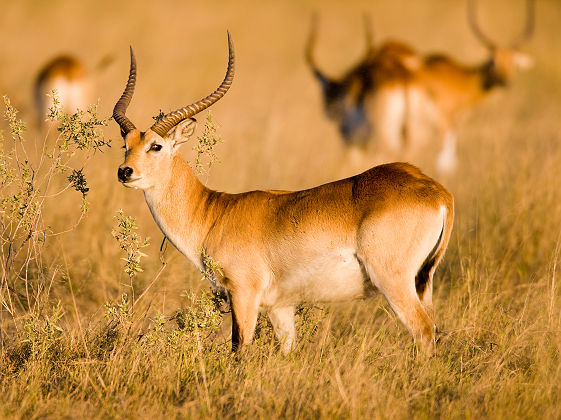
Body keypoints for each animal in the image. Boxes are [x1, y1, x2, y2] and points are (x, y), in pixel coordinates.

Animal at [114, 33, 456, 354]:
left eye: (156, 145)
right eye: (126, 144)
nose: (125, 171)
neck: (214, 214)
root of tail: (437, 192)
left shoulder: (244, 295)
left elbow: (239, 349)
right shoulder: (281, 307)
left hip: (394, 282)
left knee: (424, 332)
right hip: (422, 284)